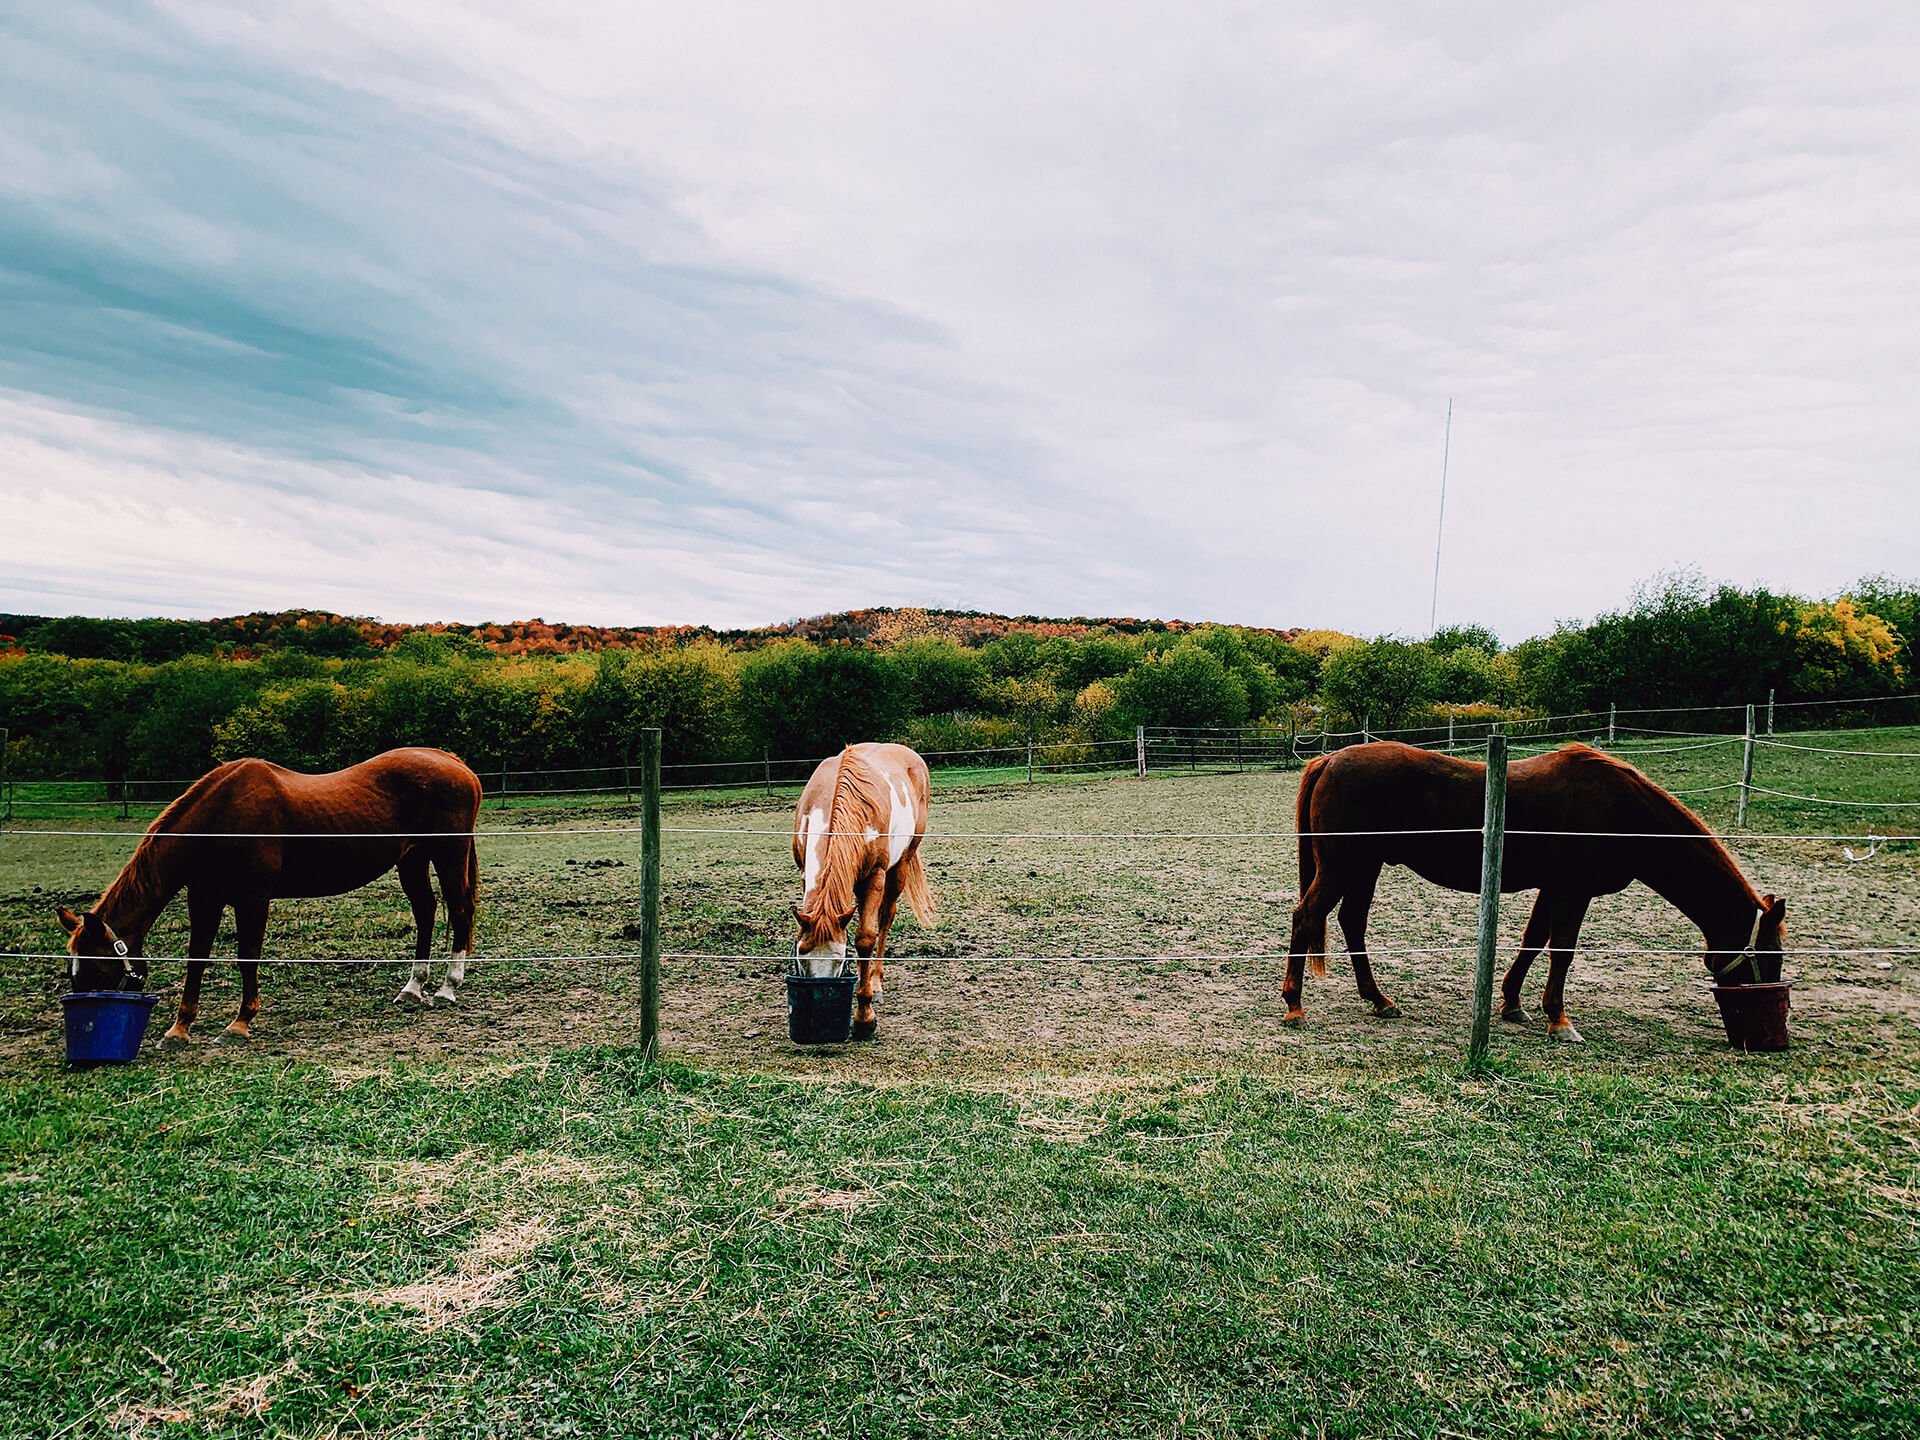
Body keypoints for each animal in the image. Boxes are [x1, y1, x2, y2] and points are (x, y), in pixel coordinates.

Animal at [60, 748, 483, 1044]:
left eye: (97, 968)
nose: (87, 1018)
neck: (219, 820)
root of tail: (452, 761)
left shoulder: (253, 898)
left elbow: (247, 956)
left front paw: (240, 1023)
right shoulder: (205, 898)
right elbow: (197, 959)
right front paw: (179, 1030)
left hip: (448, 855)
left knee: (460, 911)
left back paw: (448, 988)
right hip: (413, 859)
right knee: (426, 911)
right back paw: (413, 988)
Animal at [791, 744, 933, 1036]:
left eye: (838, 960)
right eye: (801, 957)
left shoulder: (875, 877)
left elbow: (865, 938)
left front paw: (864, 1018)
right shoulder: (804, 873)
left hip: (900, 866)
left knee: (886, 917)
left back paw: (875, 982)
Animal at [1290, 748, 1781, 1044]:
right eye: (1770, 957)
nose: (1768, 1032)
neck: (1622, 812)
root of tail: (1329, 759)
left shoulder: (1553, 888)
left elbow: (1532, 942)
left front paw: (1512, 1003)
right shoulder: (1573, 891)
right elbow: (1561, 950)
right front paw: (1559, 1021)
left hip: (1364, 868)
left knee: (1351, 922)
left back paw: (1379, 1000)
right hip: (1344, 868)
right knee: (1306, 916)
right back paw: (1294, 1006)